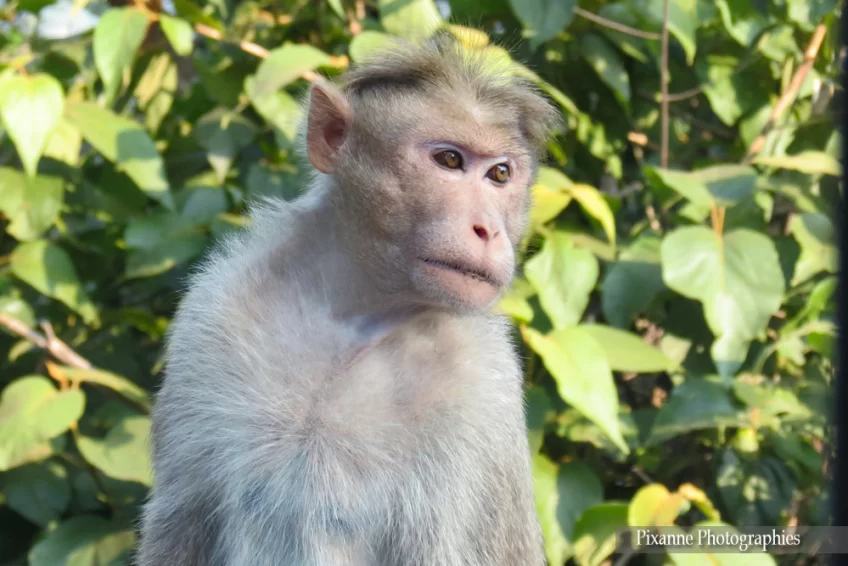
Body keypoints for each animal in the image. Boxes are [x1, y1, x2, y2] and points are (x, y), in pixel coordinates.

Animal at [136, 35, 559, 566]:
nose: (489, 229)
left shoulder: (481, 385)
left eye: (500, 174)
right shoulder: (213, 312)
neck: (357, 310)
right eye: (449, 161)